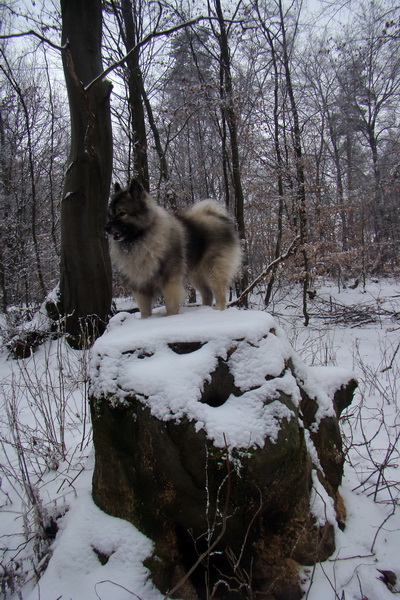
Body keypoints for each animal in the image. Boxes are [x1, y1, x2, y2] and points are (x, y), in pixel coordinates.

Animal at [104, 179, 241, 316]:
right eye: (110, 215)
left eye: (122, 213)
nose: (106, 228)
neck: (139, 240)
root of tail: (218, 217)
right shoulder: (140, 286)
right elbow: (145, 311)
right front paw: (146, 319)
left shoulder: (170, 282)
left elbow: (170, 306)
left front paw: (171, 317)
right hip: (197, 275)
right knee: (207, 294)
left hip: (213, 270)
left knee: (220, 294)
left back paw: (218, 310)